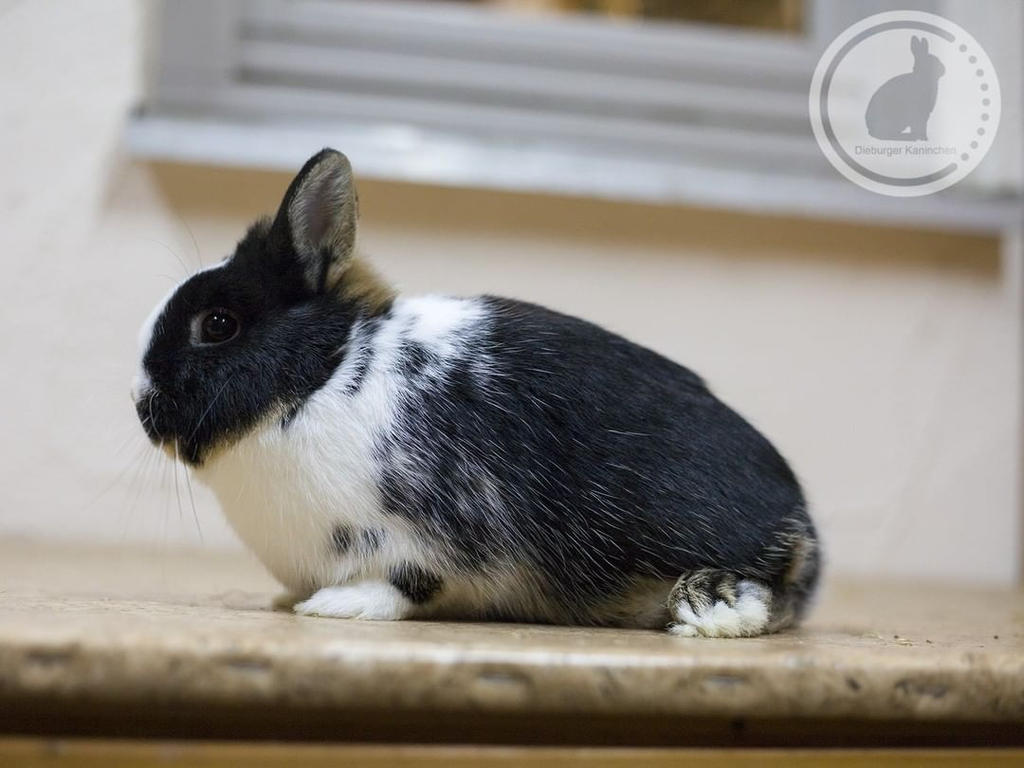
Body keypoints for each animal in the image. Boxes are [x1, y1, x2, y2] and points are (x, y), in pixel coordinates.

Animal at [133, 149, 820, 638]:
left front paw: (337, 605)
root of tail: (801, 522)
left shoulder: (423, 537)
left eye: (218, 324)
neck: (324, 378)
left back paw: (710, 611)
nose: (142, 405)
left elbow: (404, 584)